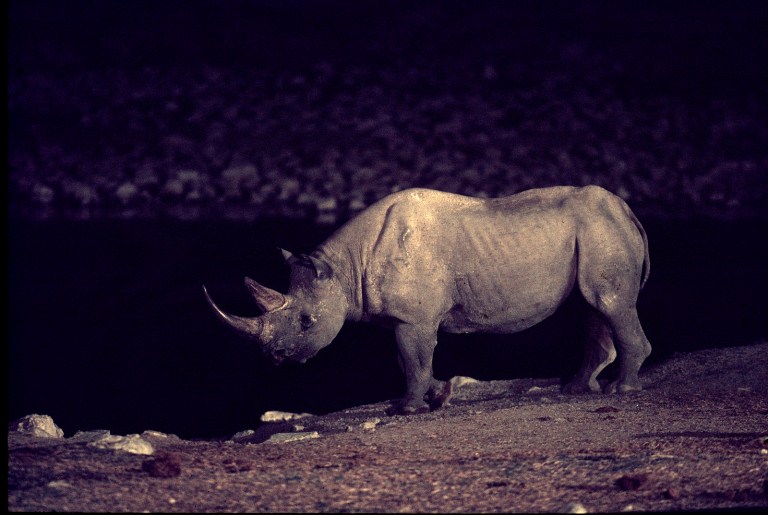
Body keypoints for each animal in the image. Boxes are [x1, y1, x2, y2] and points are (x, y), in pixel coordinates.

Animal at [204, 185, 651, 415]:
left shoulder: (413, 318)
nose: (275, 357)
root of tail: (628, 210)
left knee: (609, 303)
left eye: (306, 322)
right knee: (592, 308)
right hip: (592, 234)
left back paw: (620, 391)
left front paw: (406, 409)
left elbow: (413, 359)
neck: (343, 269)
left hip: (600, 230)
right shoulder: (402, 318)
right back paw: (576, 389)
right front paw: (438, 395)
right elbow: (409, 361)